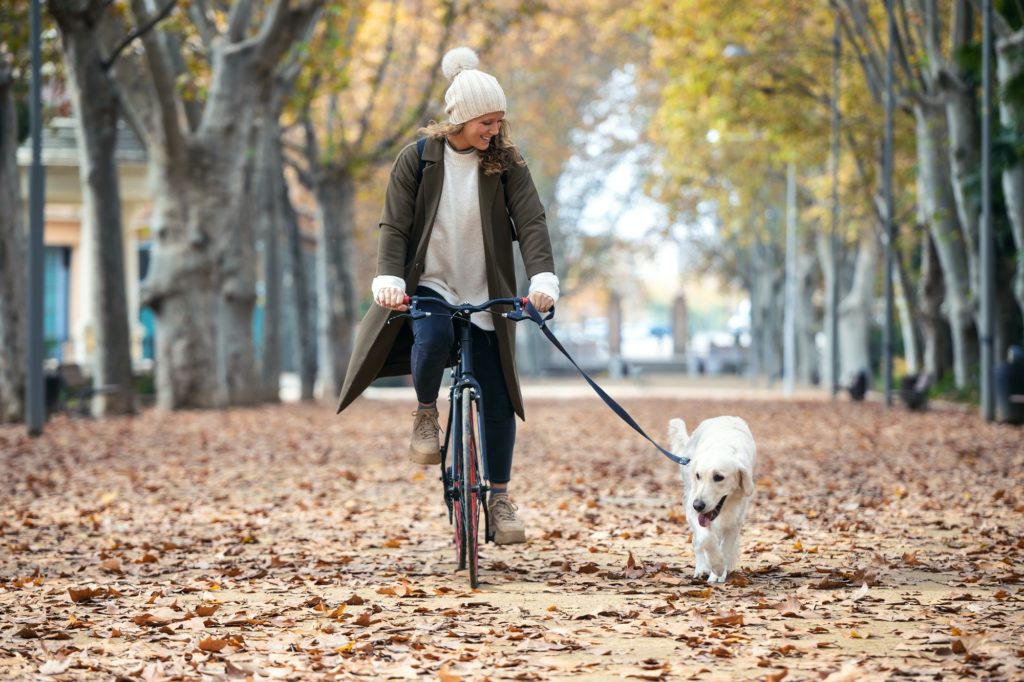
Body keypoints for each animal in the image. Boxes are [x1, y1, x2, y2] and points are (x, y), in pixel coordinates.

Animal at [667, 413, 757, 585]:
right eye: (698, 475)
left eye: (718, 477)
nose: (698, 505)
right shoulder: (691, 509)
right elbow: (706, 538)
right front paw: (716, 566)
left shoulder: (736, 518)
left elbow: (727, 545)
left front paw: (719, 572)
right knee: (697, 542)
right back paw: (702, 569)